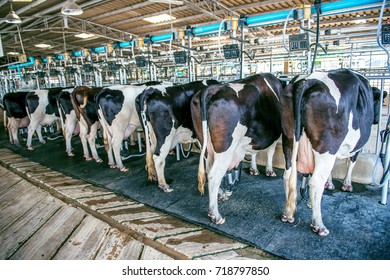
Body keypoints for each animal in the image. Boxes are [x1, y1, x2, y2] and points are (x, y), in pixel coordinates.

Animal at [190, 73, 282, 224]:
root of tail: (214, 88)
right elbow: (270, 152)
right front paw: (269, 170)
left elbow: (254, 153)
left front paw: (254, 169)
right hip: (225, 149)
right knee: (214, 175)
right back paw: (215, 215)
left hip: (207, 145)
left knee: (209, 169)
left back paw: (221, 194)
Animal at [280, 68, 380, 236]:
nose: (377, 120)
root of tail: (308, 80)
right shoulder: (355, 148)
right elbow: (350, 163)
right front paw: (347, 185)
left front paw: (323, 190)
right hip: (327, 147)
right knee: (316, 182)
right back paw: (318, 225)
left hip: (288, 139)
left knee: (288, 175)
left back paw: (288, 213)